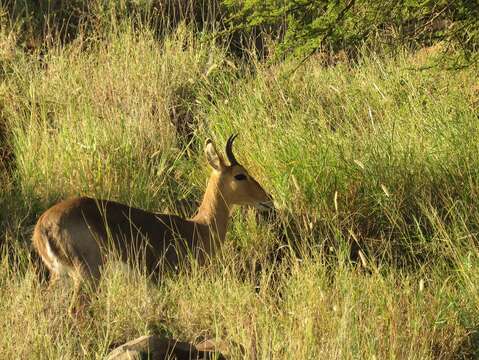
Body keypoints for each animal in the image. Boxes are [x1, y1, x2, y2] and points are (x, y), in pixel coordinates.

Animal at [31, 135, 274, 312]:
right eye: (240, 175)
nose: (268, 198)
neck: (198, 228)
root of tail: (42, 226)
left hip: (60, 277)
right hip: (87, 275)